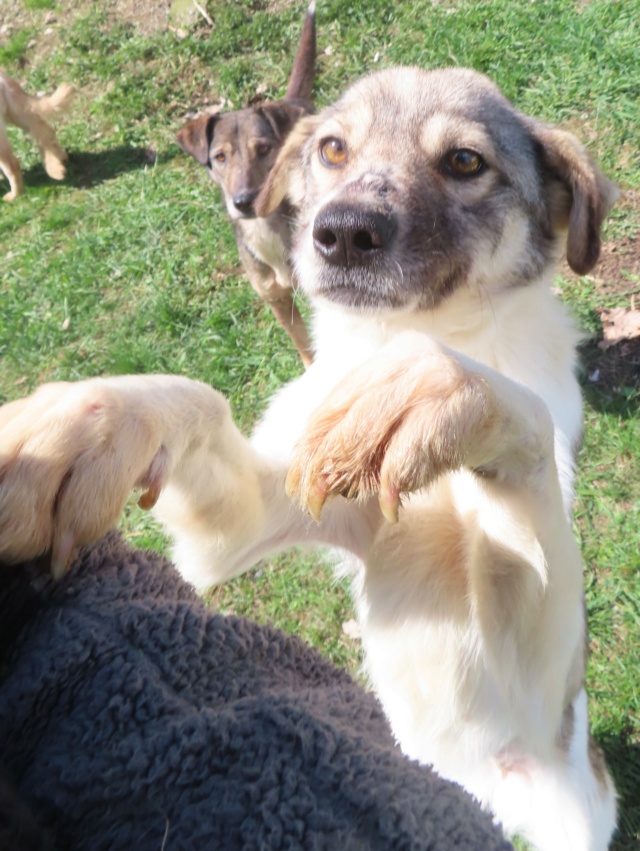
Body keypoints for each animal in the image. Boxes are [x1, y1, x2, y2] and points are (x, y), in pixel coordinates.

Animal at [0, 70, 75, 202]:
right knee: (44, 130)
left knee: (12, 163)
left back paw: (15, 194)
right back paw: (57, 164)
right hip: (16, 112)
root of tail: (2, 77)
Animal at [176, 0, 316, 366]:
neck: (267, 229)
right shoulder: (277, 300)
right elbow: (305, 348)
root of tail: (294, 103)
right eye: (220, 157)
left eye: (264, 149)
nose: (244, 201)